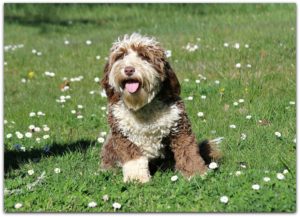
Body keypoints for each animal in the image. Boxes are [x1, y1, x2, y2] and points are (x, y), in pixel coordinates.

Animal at [101, 33, 220, 182]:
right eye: (120, 56)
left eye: (144, 56)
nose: (128, 69)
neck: (142, 106)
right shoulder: (123, 135)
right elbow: (133, 160)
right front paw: (137, 179)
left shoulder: (180, 128)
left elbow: (188, 153)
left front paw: (196, 173)